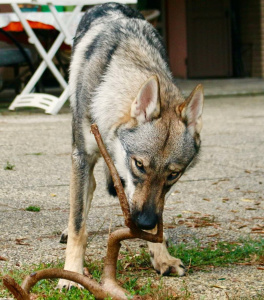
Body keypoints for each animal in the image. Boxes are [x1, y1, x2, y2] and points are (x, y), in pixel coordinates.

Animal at [57, 1, 202, 290]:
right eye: (139, 165)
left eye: (173, 175)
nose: (143, 222)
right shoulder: (82, 157)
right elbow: (79, 223)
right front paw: (72, 273)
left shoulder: (155, 198)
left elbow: (158, 221)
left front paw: (162, 257)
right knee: (85, 196)